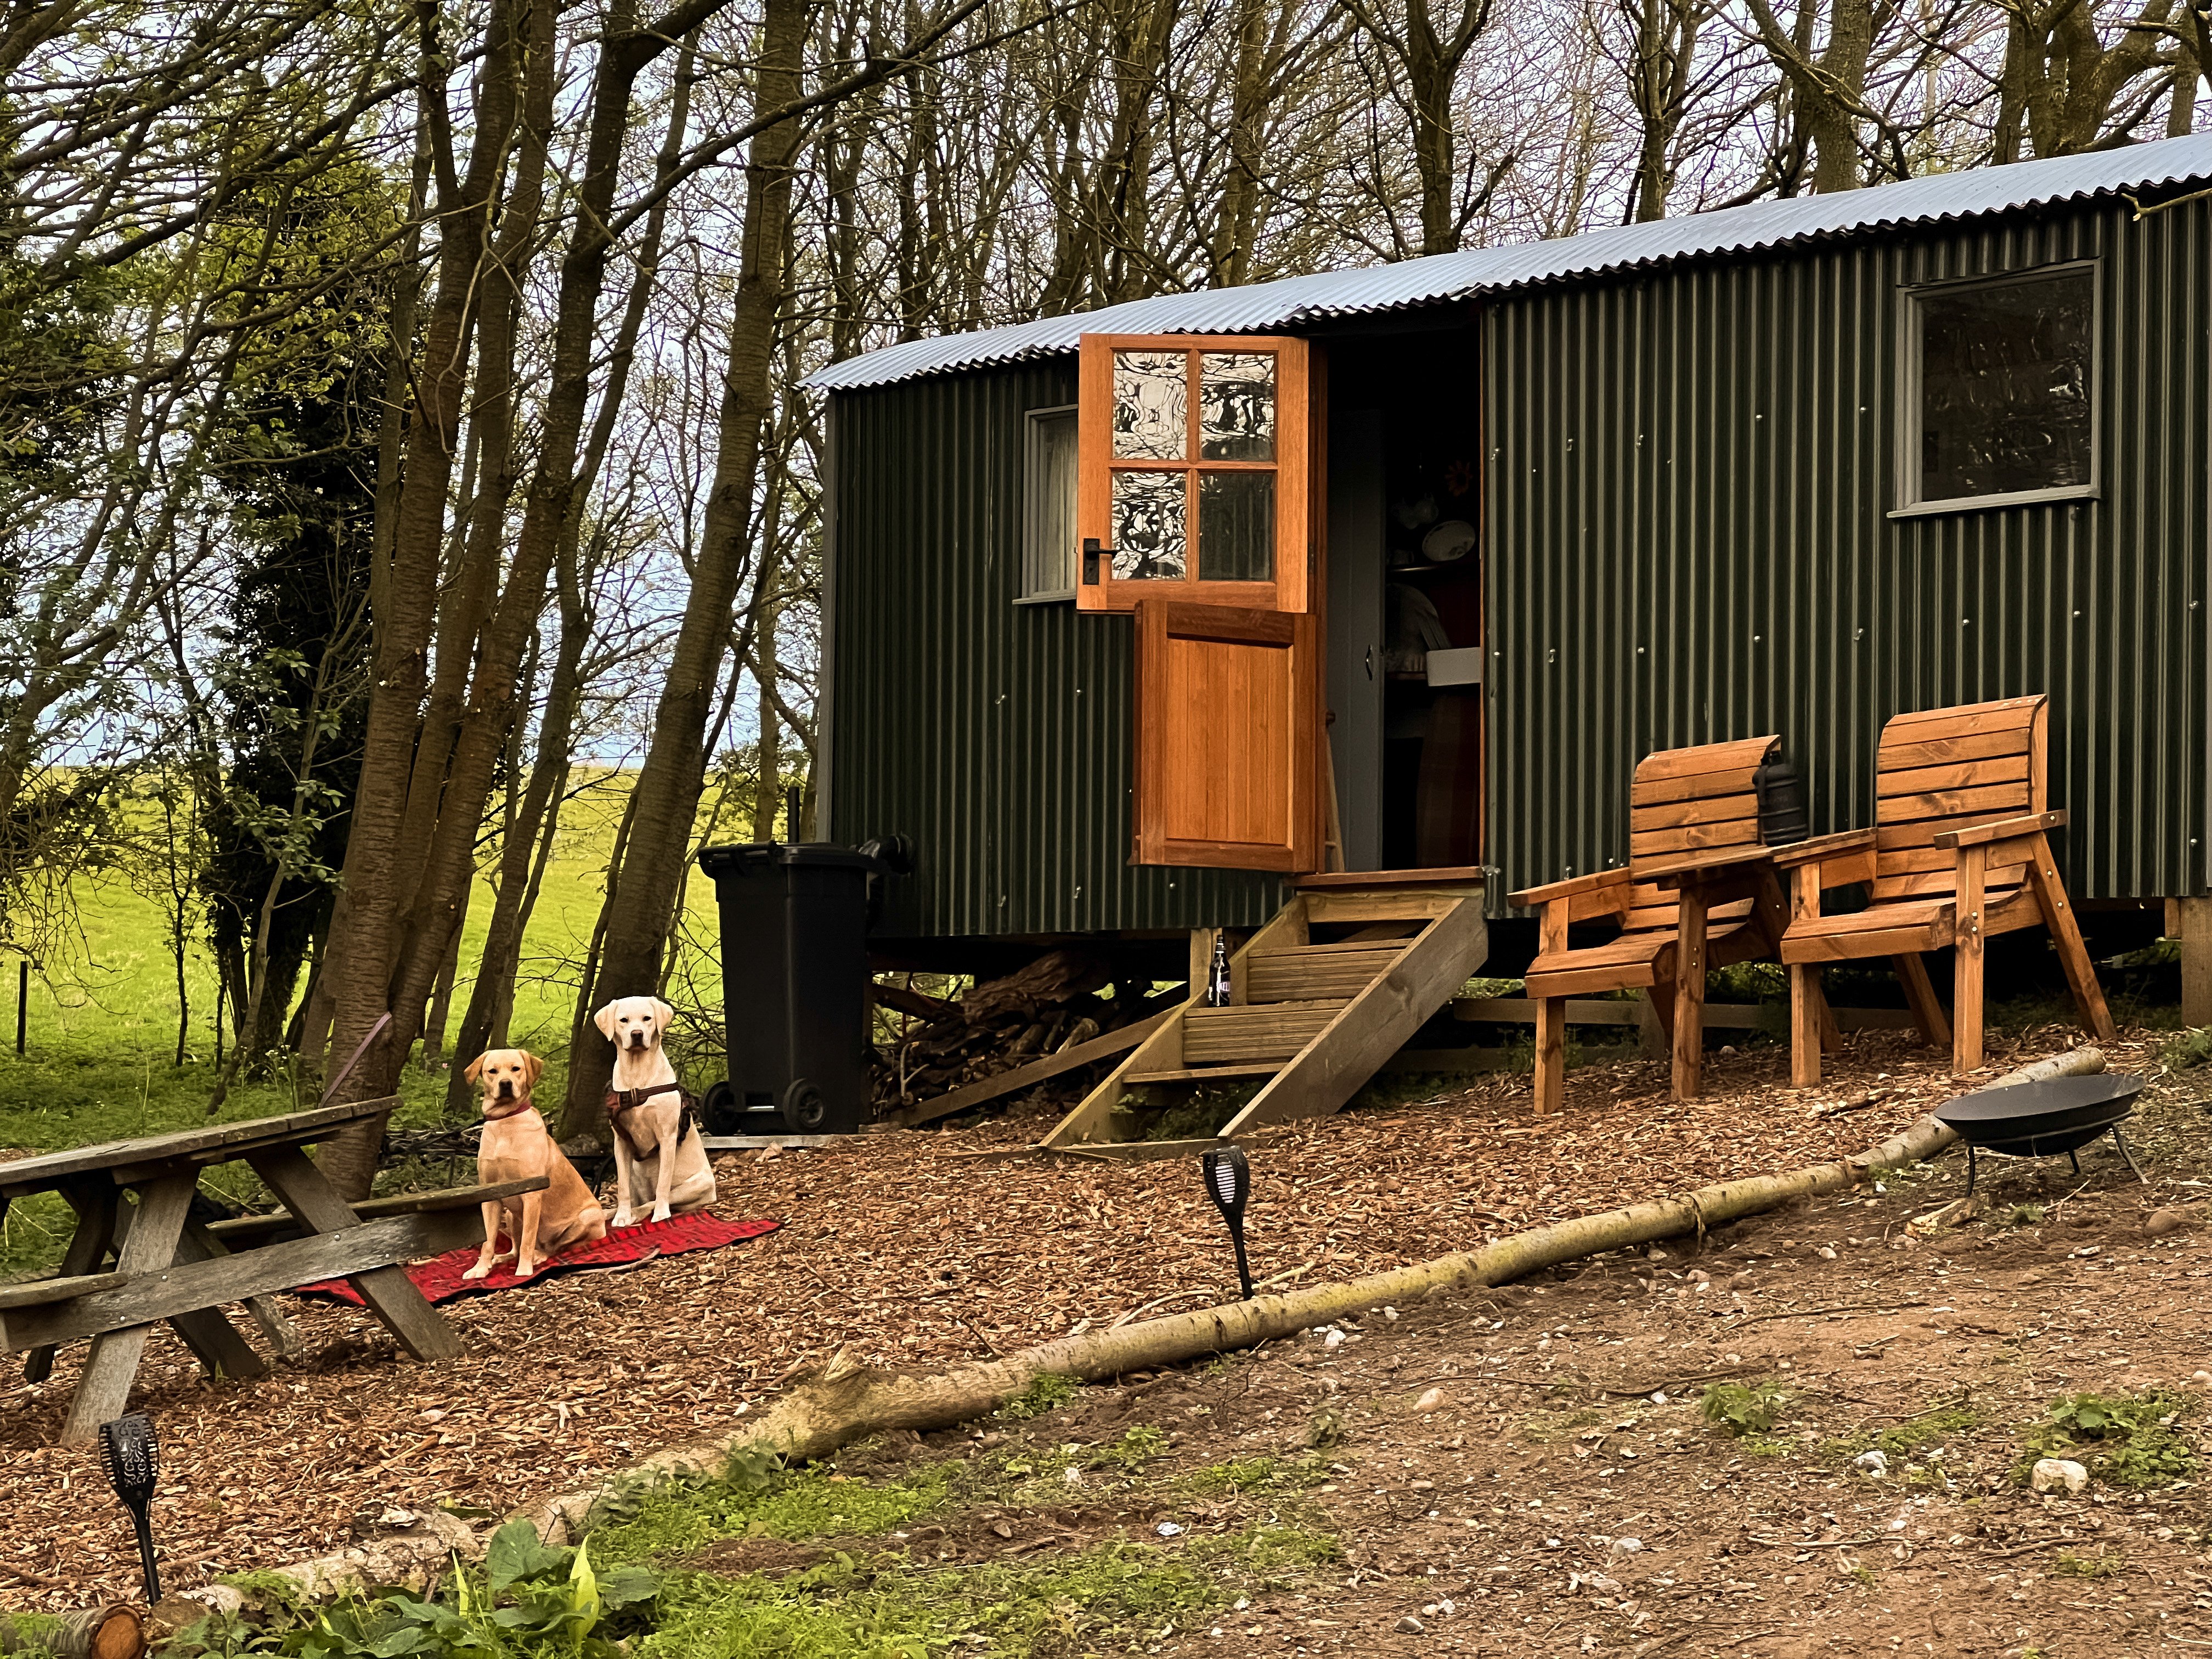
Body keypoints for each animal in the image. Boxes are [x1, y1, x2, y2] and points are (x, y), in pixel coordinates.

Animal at [462, 1057, 610, 1283]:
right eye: (492, 1071)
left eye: (516, 1069)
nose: (506, 1084)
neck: (505, 1121)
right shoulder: (490, 1196)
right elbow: (488, 1241)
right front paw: (480, 1268)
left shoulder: (532, 1195)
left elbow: (528, 1239)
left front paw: (524, 1270)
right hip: (512, 1215)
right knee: (515, 1248)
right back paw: (502, 1258)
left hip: (587, 1217)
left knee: (555, 1247)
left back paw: (539, 1255)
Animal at [597, 995, 716, 1229]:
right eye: (623, 1020)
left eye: (647, 1018)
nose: (637, 1034)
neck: (637, 1074)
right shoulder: (620, 1142)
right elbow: (622, 1188)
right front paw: (621, 1216)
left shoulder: (667, 1138)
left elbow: (663, 1184)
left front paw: (661, 1215)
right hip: (635, 1173)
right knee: (636, 1197)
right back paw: (611, 1213)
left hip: (697, 1184)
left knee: (657, 1199)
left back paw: (642, 1213)